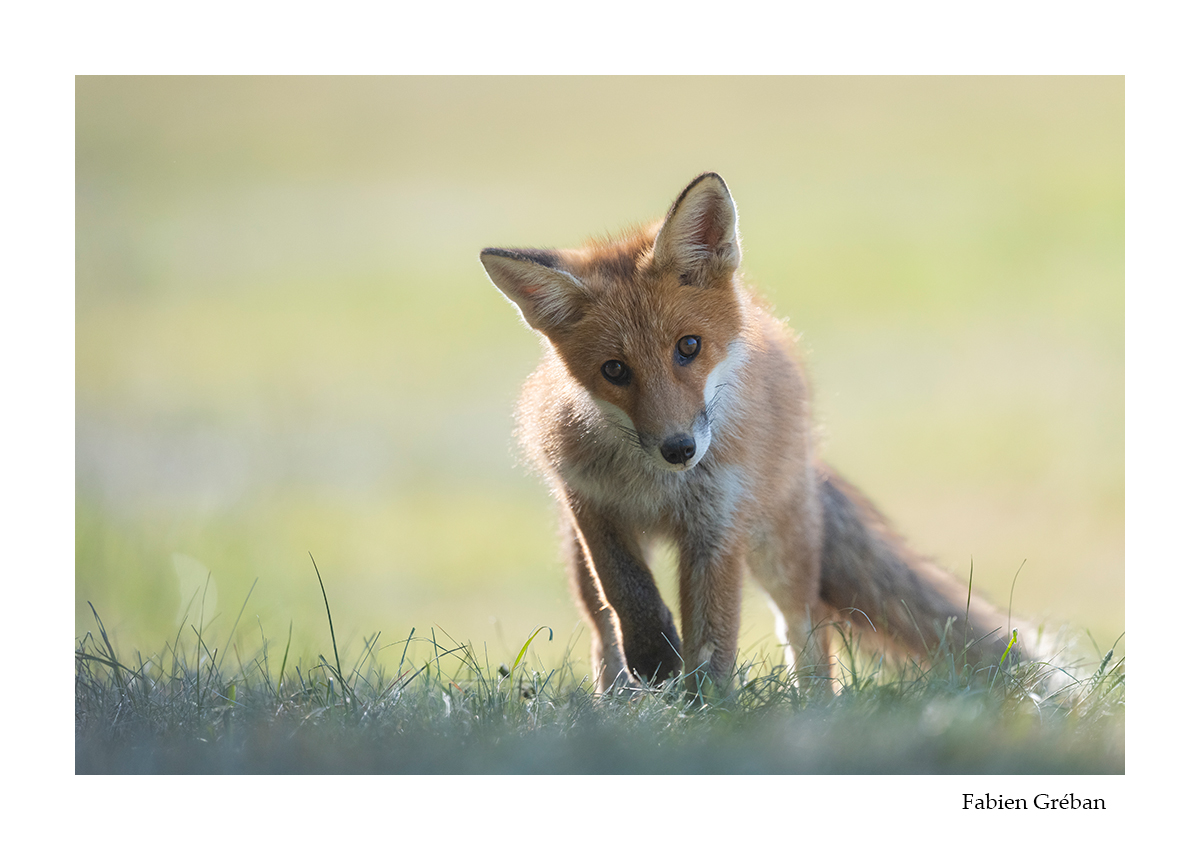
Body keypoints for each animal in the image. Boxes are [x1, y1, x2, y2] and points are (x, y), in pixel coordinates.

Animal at [480, 172, 1027, 694]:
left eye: (689, 346)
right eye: (614, 370)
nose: (679, 449)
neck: (658, 487)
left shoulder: (718, 524)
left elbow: (713, 639)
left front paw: (709, 707)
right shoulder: (591, 505)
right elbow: (627, 590)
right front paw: (654, 656)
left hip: (781, 548)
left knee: (808, 626)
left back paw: (816, 706)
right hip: (580, 562)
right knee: (602, 630)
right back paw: (612, 698)